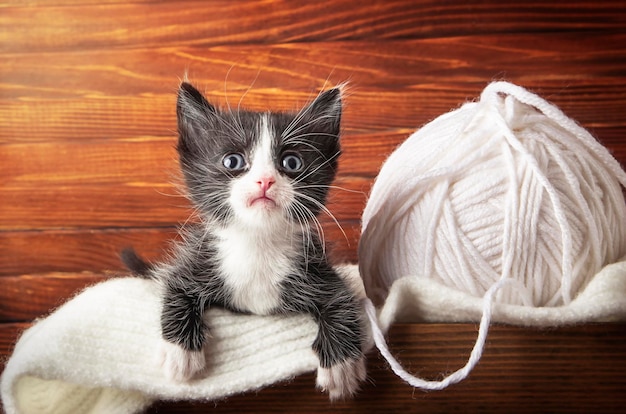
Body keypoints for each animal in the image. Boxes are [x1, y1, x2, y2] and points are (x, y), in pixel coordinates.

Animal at [125, 81, 366, 402]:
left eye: (291, 162)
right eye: (233, 161)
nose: (265, 181)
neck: (257, 243)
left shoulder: (318, 268)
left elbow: (342, 299)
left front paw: (342, 366)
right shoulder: (197, 258)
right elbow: (175, 285)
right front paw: (180, 353)